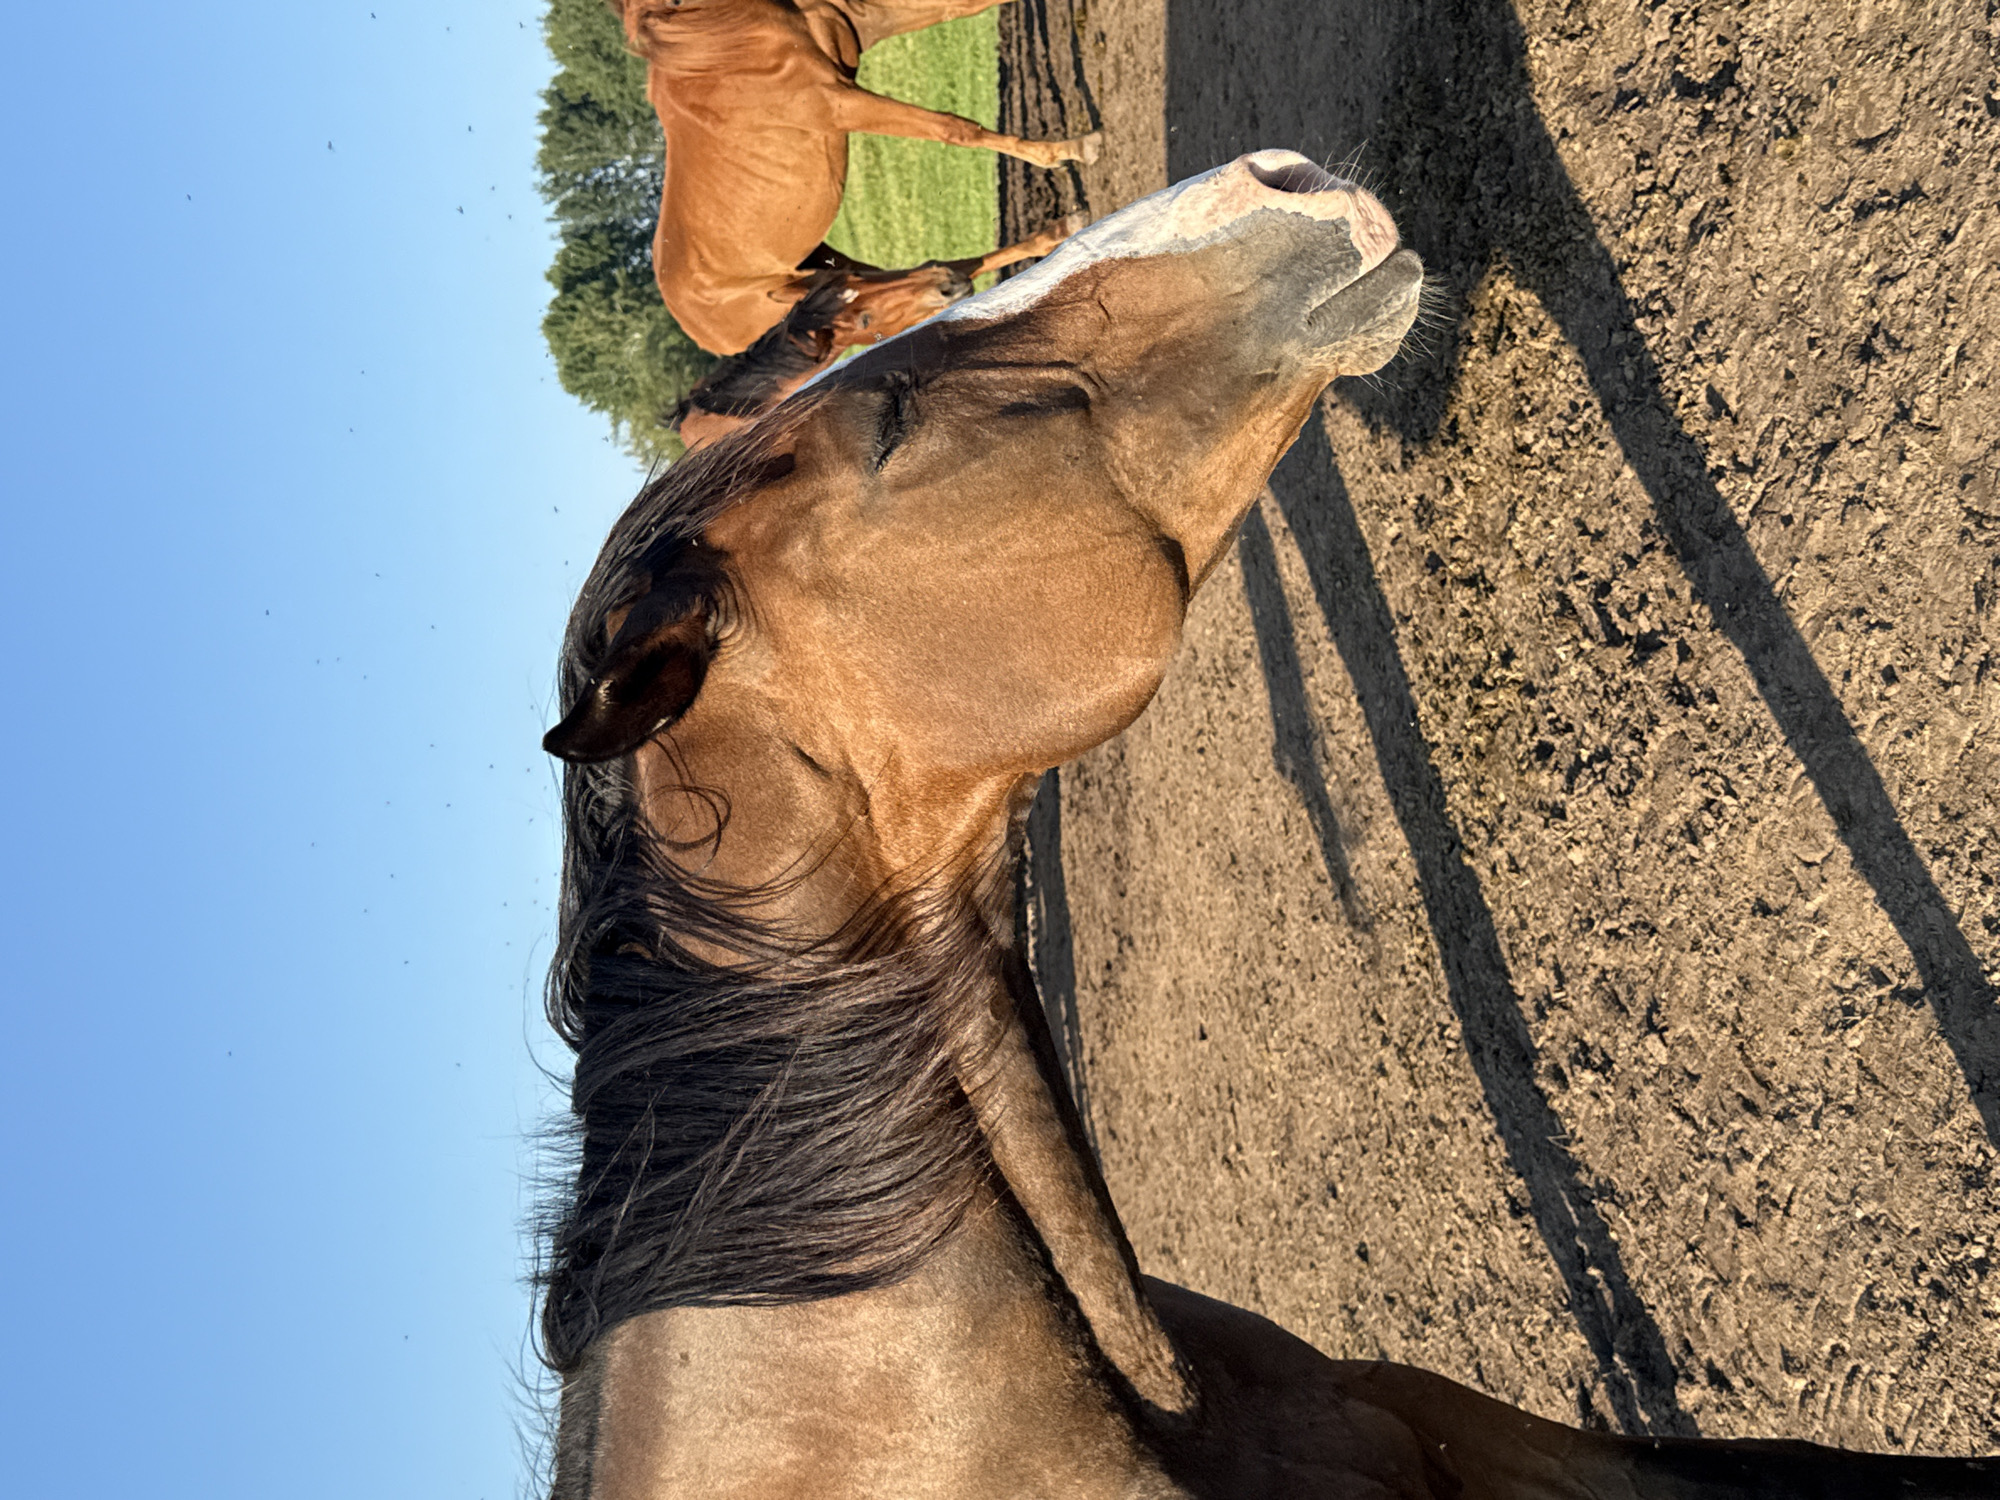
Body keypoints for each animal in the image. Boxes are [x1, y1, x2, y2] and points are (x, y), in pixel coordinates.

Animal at [611, 0, 1098, 443]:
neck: (707, 41)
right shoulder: (838, 100)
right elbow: (955, 128)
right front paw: (1072, 148)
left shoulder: (858, 24)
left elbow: (958, 8)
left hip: (829, 262)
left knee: (948, 266)